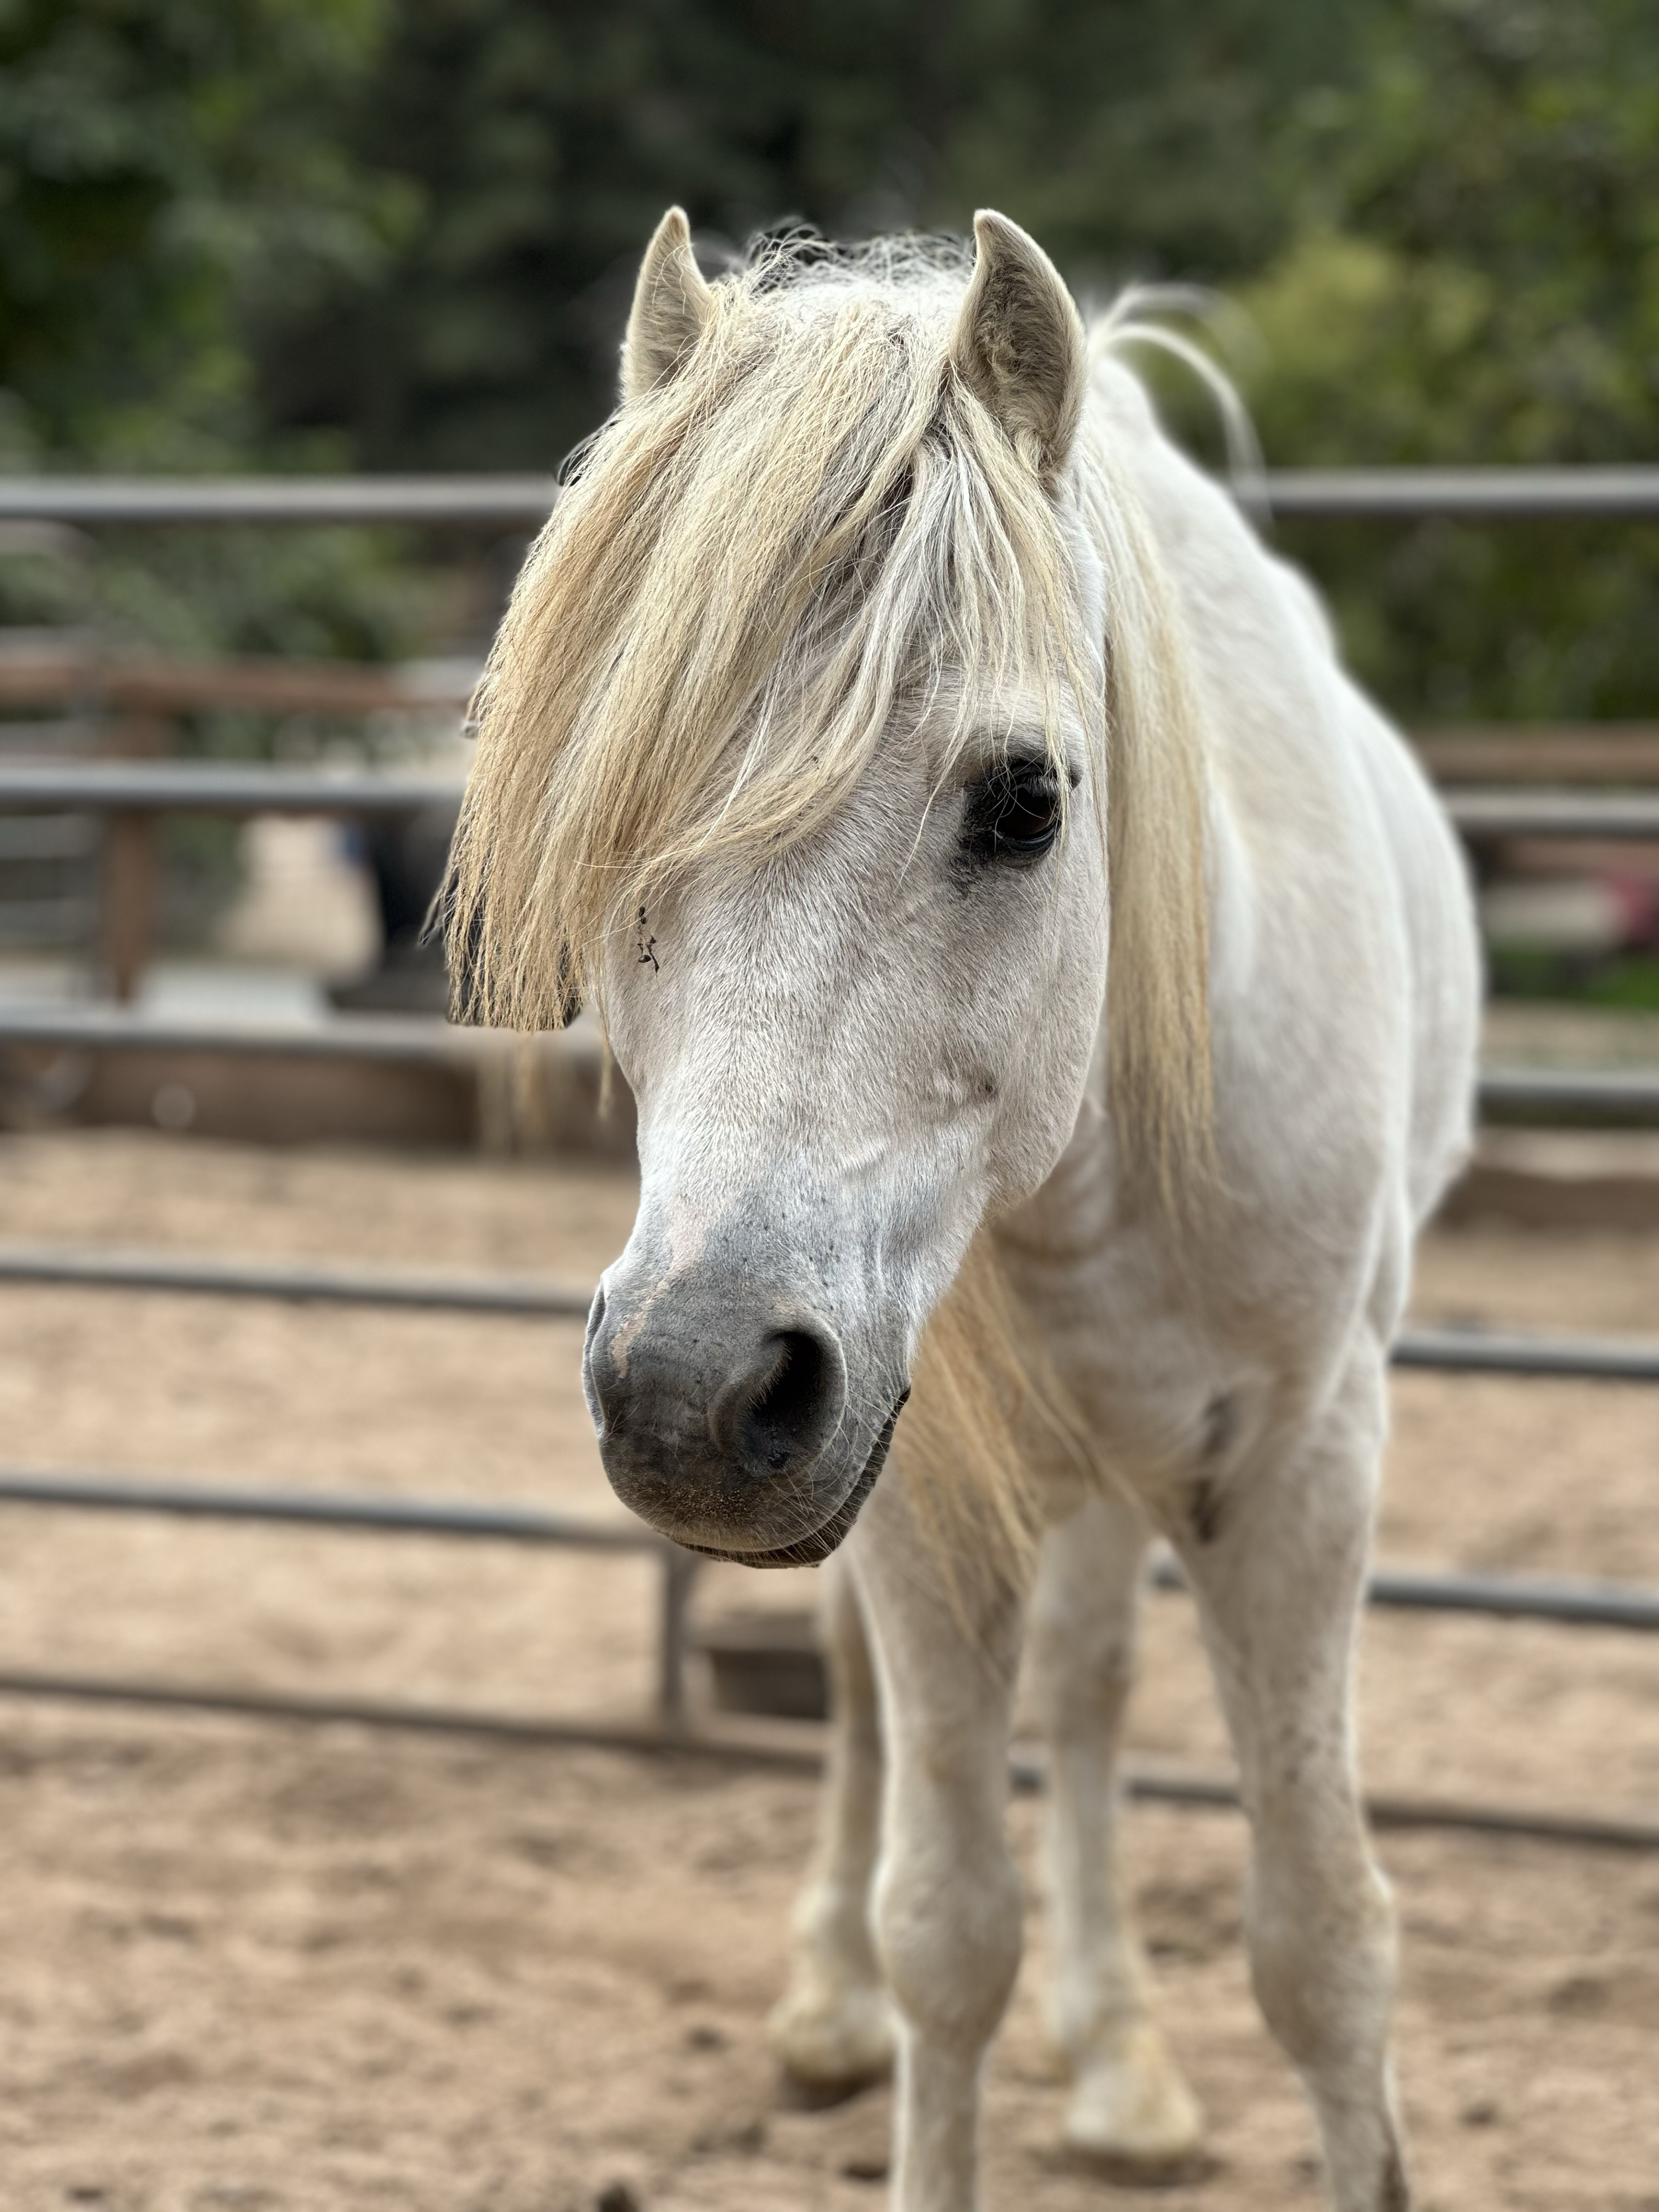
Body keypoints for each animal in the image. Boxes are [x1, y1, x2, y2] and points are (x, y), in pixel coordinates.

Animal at [443, 206, 1480, 2212]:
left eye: (1023, 801)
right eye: (613, 811)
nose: (688, 1394)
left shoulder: (1303, 1463)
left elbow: (1324, 1946)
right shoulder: (911, 1475)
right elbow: (947, 1930)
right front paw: (886, 1992)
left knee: (1085, 1689)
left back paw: (1125, 2068)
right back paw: (833, 2005)